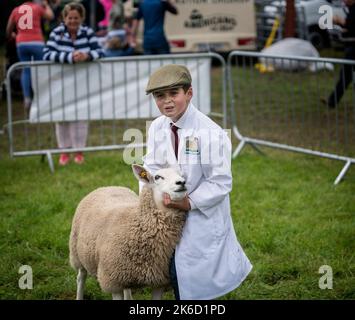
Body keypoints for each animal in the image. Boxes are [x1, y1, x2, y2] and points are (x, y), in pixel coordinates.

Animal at [68, 165, 188, 300]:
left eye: (181, 174)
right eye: (157, 177)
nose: (181, 182)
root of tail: (107, 186)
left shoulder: (159, 281)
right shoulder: (112, 282)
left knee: (126, 288)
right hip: (77, 254)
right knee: (81, 277)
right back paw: (79, 295)